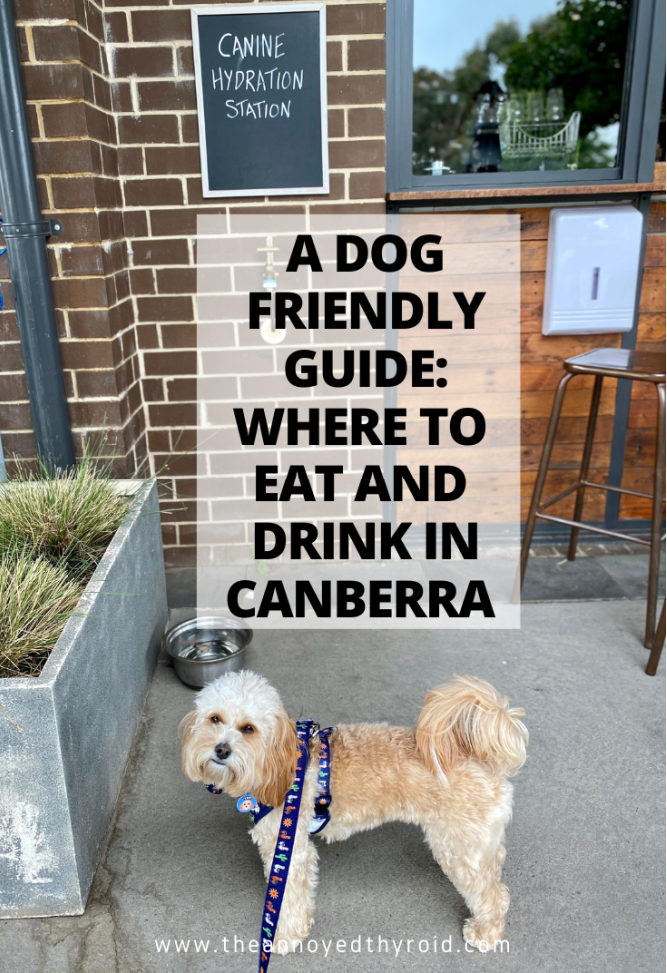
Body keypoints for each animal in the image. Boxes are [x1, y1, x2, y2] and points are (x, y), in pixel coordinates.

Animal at [180, 668, 528, 948]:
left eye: (249, 728)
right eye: (214, 719)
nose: (221, 749)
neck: (283, 765)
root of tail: (479, 757)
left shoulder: (291, 849)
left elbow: (288, 897)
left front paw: (283, 936)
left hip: (459, 849)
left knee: (492, 895)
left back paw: (486, 934)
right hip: (476, 844)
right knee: (496, 880)